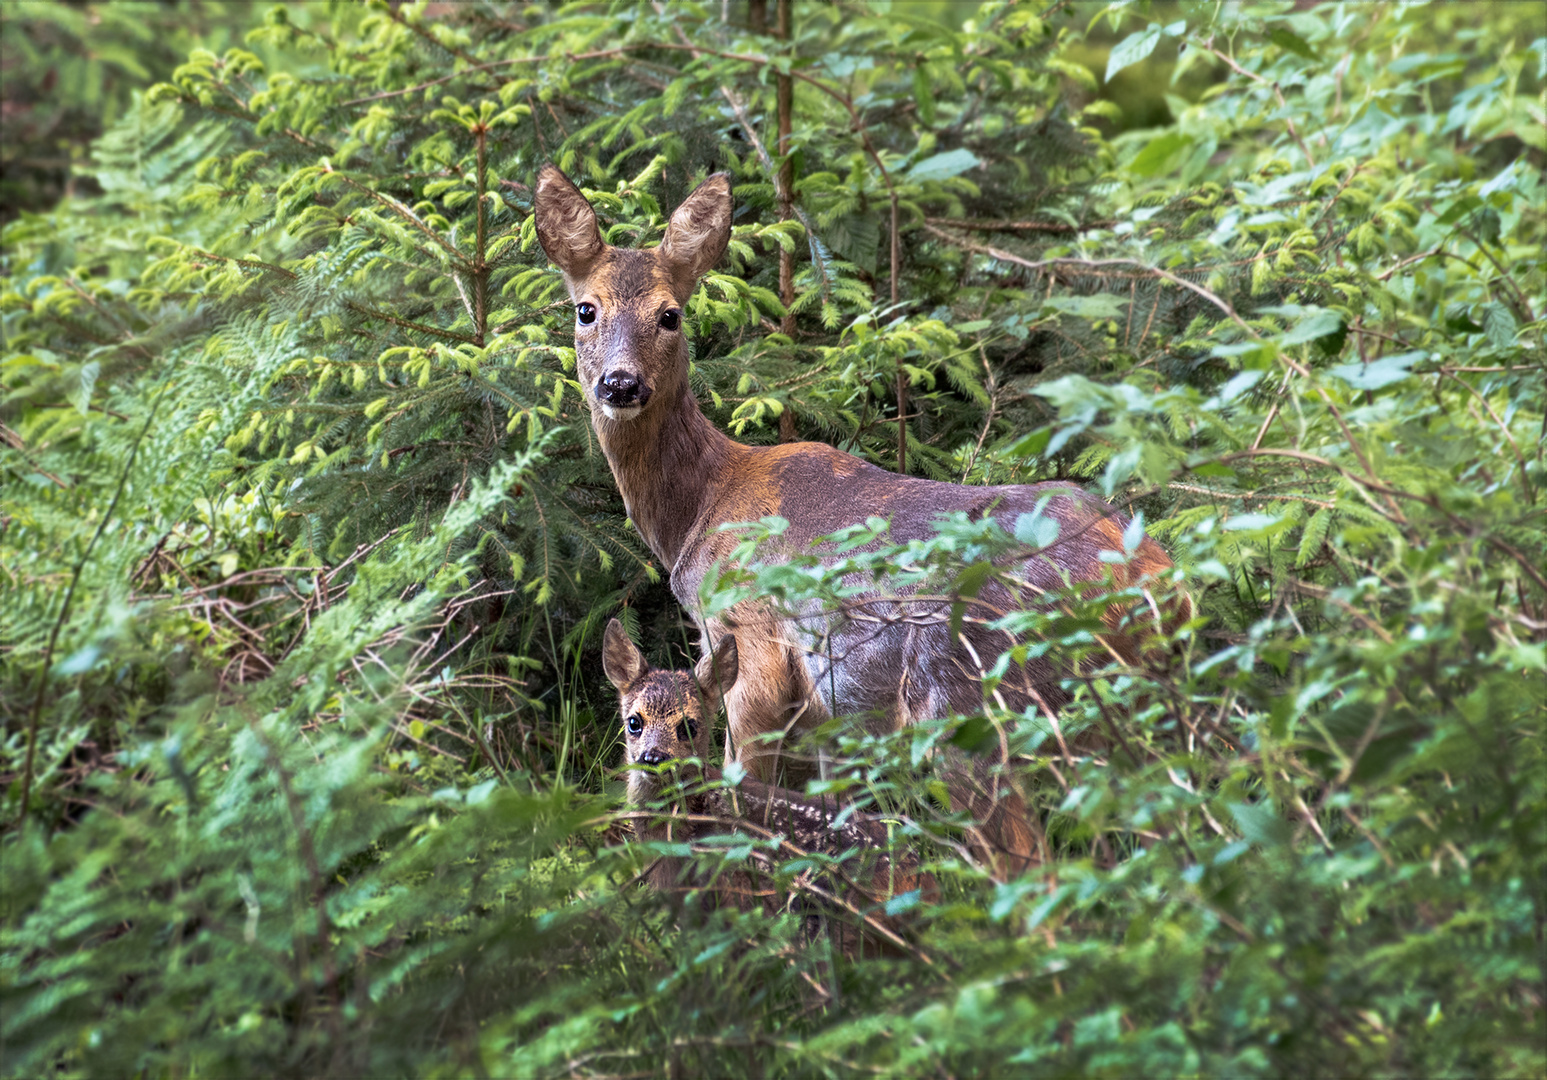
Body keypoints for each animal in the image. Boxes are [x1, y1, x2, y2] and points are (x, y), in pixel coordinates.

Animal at [538, 168, 1188, 872]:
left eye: (670, 314)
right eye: (585, 309)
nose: (620, 384)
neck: (701, 510)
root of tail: (1157, 582)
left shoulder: (754, 645)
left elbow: (745, 790)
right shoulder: (828, 716)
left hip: (970, 706)